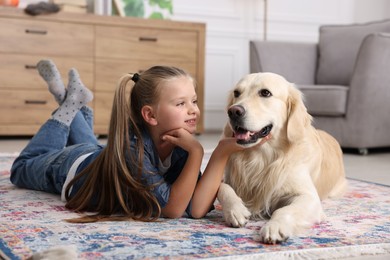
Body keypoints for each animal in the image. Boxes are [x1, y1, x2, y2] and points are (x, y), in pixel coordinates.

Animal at [216, 72, 348, 244]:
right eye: (236, 93)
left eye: (265, 93)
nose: (233, 111)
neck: (261, 158)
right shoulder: (228, 178)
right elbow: (223, 188)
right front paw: (235, 210)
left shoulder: (309, 197)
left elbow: (285, 210)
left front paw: (275, 226)